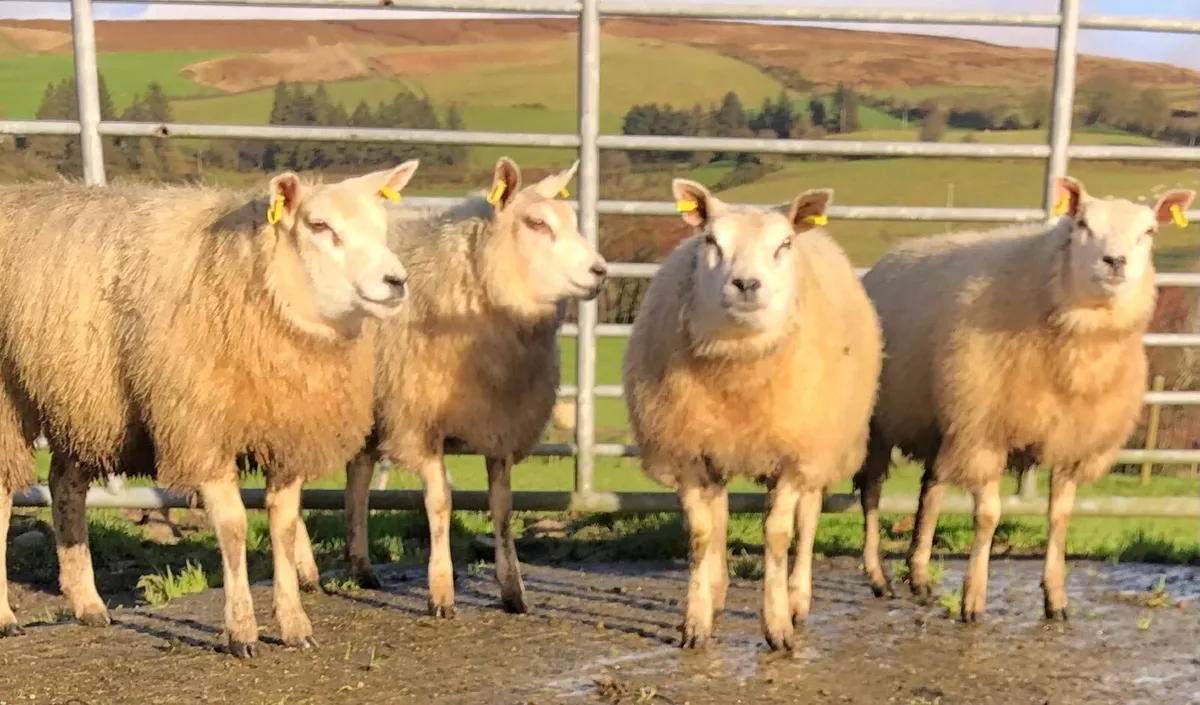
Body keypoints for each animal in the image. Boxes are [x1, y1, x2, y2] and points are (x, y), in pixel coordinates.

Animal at [0, 161, 418, 656]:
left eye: (382, 226)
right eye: (319, 226)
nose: (397, 282)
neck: (250, 277)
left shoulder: (286, 434)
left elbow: (284, 526)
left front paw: (294, 624)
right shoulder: (202, 428)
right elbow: (234, 527)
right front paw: (241, 631)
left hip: (83, 402)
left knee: (65, 486)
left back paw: (89, 604)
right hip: (13, 399)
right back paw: (7, 617)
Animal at [339, 156, 608, 618]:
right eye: (537, 223)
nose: (600, 271)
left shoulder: (501, 420)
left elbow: (502, 508)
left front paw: (513, 591)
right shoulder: (421, 420)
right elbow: (441, 501)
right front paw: (442, 592)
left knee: (358, 473)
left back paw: (362, 569)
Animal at [622, 179, 883, 651]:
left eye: (783, 244)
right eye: (710, 241)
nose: (746, 284)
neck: (740, 373)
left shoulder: (794, 454)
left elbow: (778, 536)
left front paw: (777, 625)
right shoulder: (688, 451)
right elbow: (701, 533)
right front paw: (695, 621)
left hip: (819, 445)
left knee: (808, 518)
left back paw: (797, 599)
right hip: (720, 445)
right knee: (721, 512)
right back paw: (718, 591)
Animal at [854, 176, 1194, 623]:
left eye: (1149, 231)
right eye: (1081, 224)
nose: (1115, 261)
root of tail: (888, 260)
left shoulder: (1070, 442)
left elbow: (1059, 518)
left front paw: (1056, 599)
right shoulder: (986, 430)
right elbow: (988, 516)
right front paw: (973, 600)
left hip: (945, 422)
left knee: (931, 489)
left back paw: (921, 576)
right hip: (881, 421)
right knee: (872, 492)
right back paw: (878, 576)